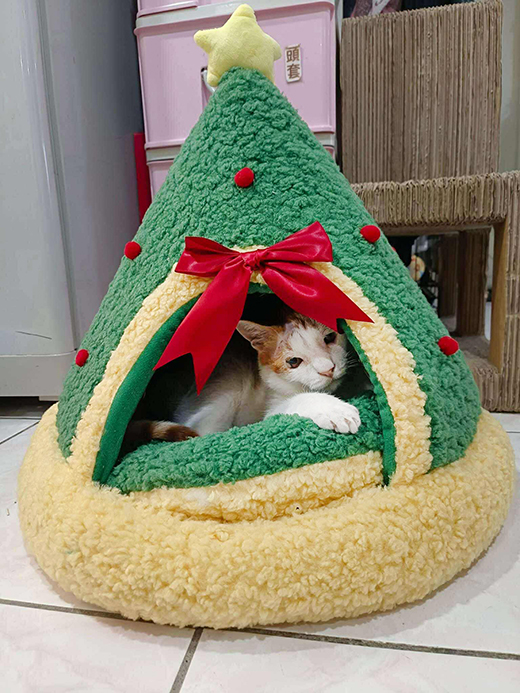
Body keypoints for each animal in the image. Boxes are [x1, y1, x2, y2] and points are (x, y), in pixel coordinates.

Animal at [125, 307, 370, 447]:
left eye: (329, 338)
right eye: (293, 362)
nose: (328, 369)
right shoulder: (272, 408)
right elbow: (300, 400)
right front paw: (335, 410)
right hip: (227, 389)